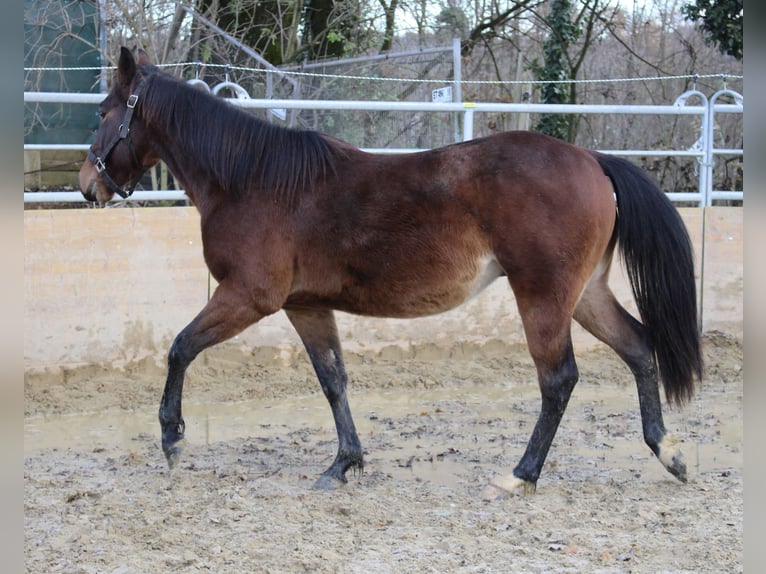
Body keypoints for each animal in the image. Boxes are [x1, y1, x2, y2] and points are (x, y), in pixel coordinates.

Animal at [81, 48, 704, 500]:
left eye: (104, 111)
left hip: (543, 297)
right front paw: (343, 464)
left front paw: (172, 439)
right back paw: (669, 452)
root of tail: (593, 160)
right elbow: (333, 380)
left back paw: (520, 475)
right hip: (585, 294)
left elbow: (180, 348)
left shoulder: (248, 297)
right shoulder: (306, 305)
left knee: (559, 380)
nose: (88, 185)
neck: (253, 180)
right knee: (638, 347)